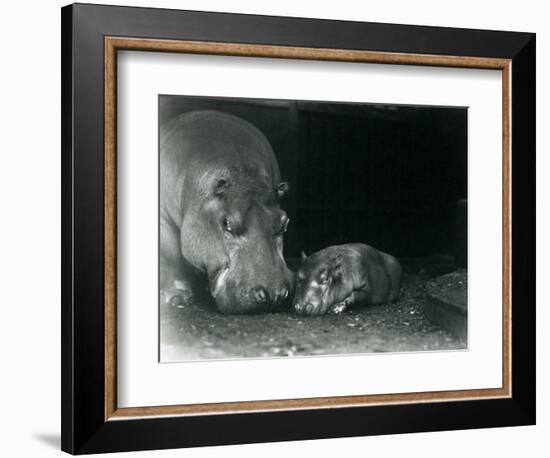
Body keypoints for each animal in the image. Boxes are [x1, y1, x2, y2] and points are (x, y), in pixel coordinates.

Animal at [162, 110, 296, 314]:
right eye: (227, 223)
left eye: (285, 222)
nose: (274, 294)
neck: (243, 176)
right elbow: (171, 256)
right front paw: (177, 298)